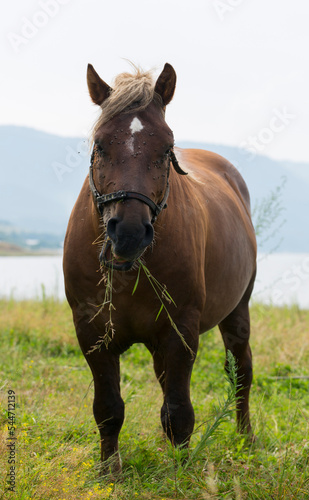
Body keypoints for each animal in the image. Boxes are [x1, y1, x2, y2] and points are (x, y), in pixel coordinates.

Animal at [62, 62, 255, 472]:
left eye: (166, 147)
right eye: (99, 144)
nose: (129, 232)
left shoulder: (180, 330)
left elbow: (179, 412)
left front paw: (180, 471)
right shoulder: (91, 331)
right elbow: (108, 408)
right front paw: (110, 471)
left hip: (238, 311)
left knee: (241, 372)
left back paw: (246, 439)